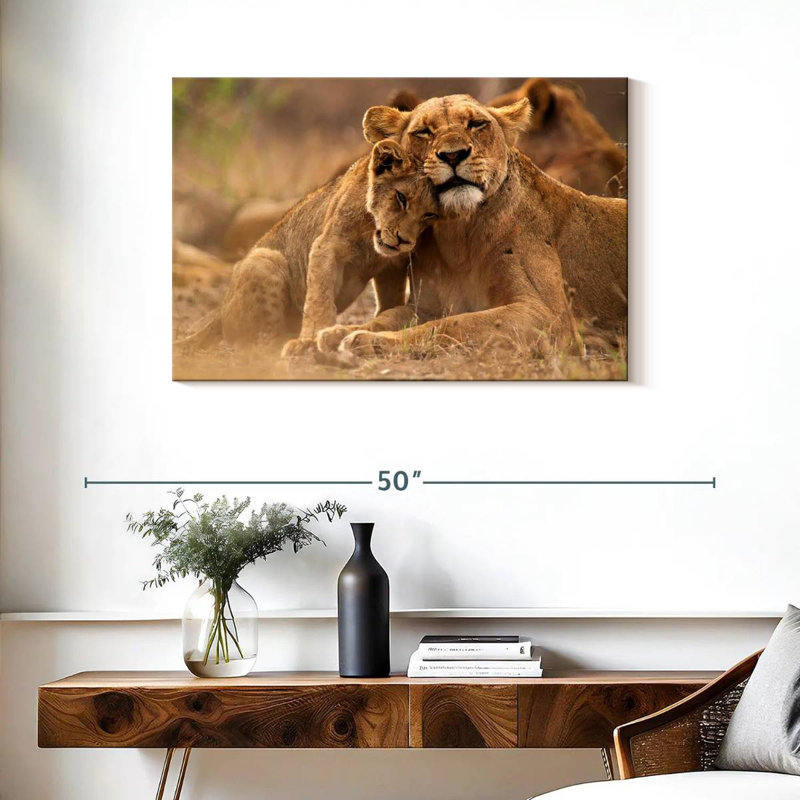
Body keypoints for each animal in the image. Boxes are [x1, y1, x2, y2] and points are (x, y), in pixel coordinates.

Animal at [176, 140, 437, 353]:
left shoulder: (392, 265)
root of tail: (219, 312)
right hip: (264, 260)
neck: (370, 236)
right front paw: (311, 338)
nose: (404, 241)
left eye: (429, 215)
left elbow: (390, 301)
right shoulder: (326, 247)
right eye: (401, 198)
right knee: (255, 342)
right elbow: (319, 299)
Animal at [322, 94, 626, 360]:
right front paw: (339, 332)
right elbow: (388, 316)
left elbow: (455, 324)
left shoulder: (550, 317)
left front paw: (366, 341)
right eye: (424, 131)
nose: (453, 155)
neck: (459, 234)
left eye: (477, 124)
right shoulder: (427, 306)